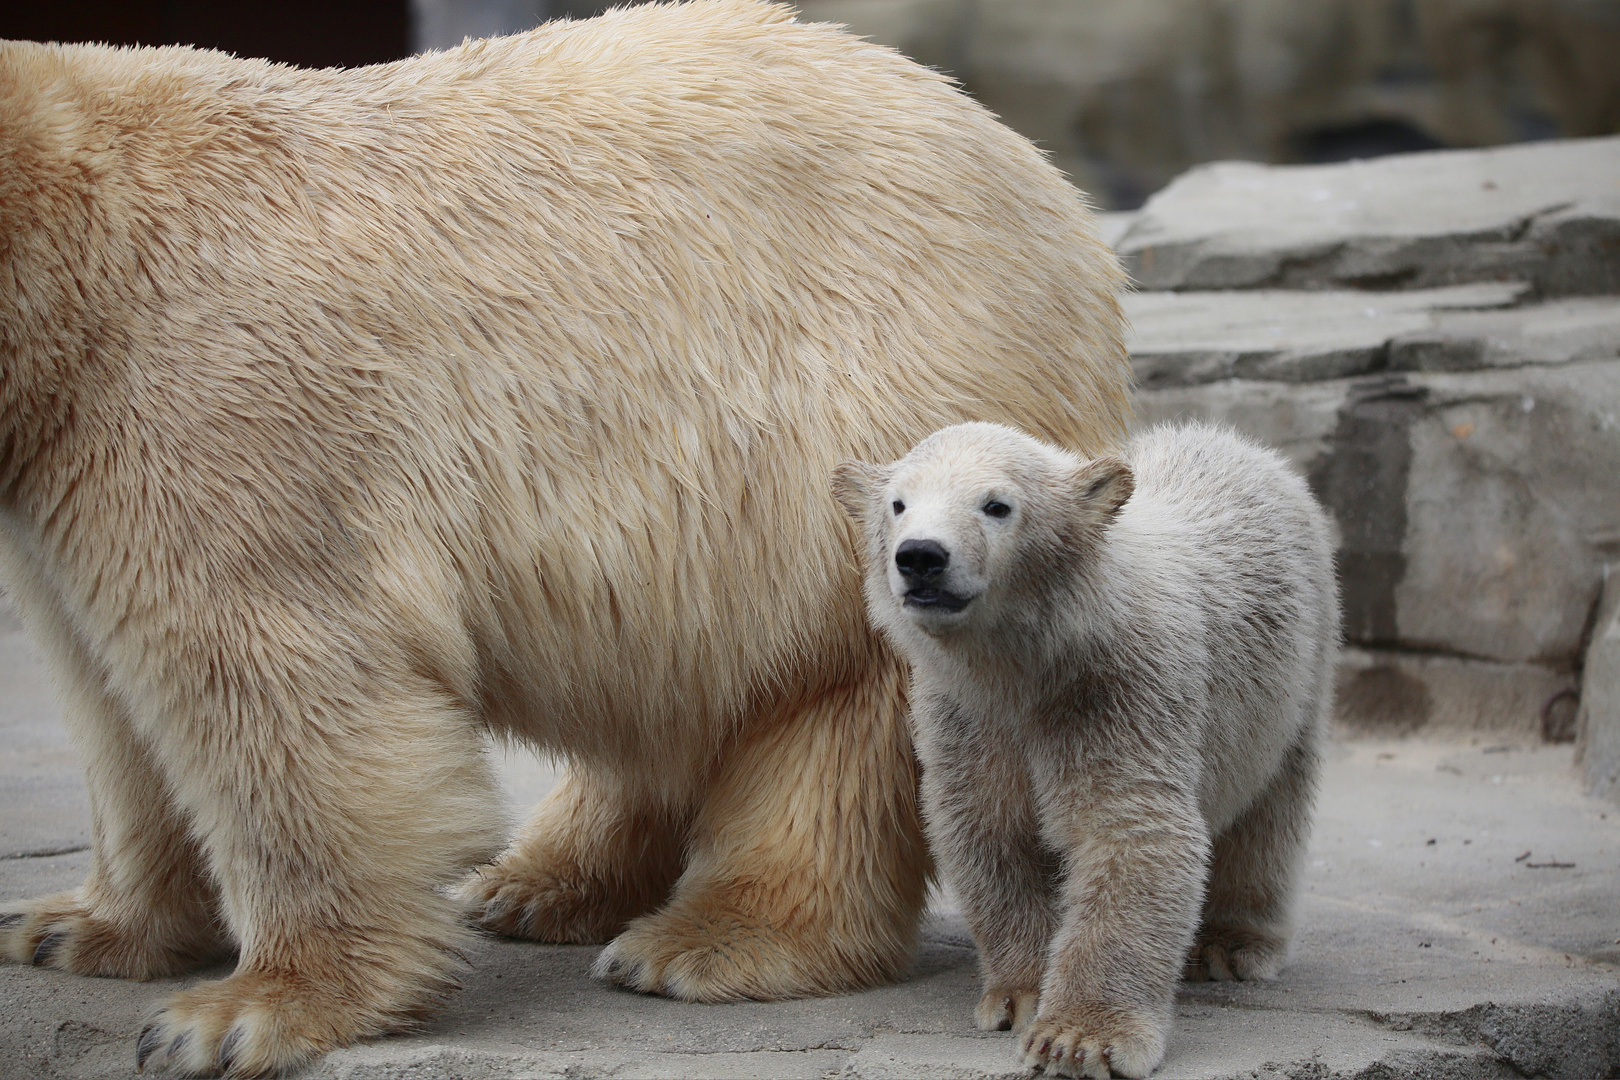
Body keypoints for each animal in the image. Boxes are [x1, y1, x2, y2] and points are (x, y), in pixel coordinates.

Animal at [0, 4, 1127, 1075]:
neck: (81, 256)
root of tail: (1057, 199)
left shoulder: (221, 394)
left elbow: (275, 680)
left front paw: (242, 1012)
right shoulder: (76, 451)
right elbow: (109, 697)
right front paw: (77, 927)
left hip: (883, 420)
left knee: (837, 695)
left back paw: (709, 940)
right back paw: (536, 886)